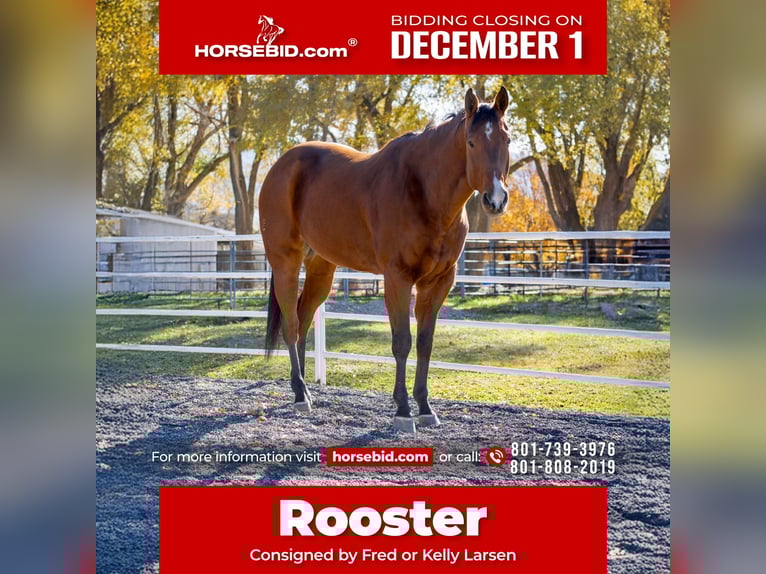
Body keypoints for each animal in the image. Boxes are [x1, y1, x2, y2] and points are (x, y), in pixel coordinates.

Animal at [258, 88, 512, 432]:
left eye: (506, 140)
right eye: (471, 142)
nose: (495, 200)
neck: (424, 192)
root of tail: (281, 166)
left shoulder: (439, 281)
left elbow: (425, 343)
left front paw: (425, 407)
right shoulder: (398, 278)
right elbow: (402, 342)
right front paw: (403, 411)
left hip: (321, 267)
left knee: (303, 319)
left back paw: (306, 390)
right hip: (286, 262)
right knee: (291, 324)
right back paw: (299, 395)